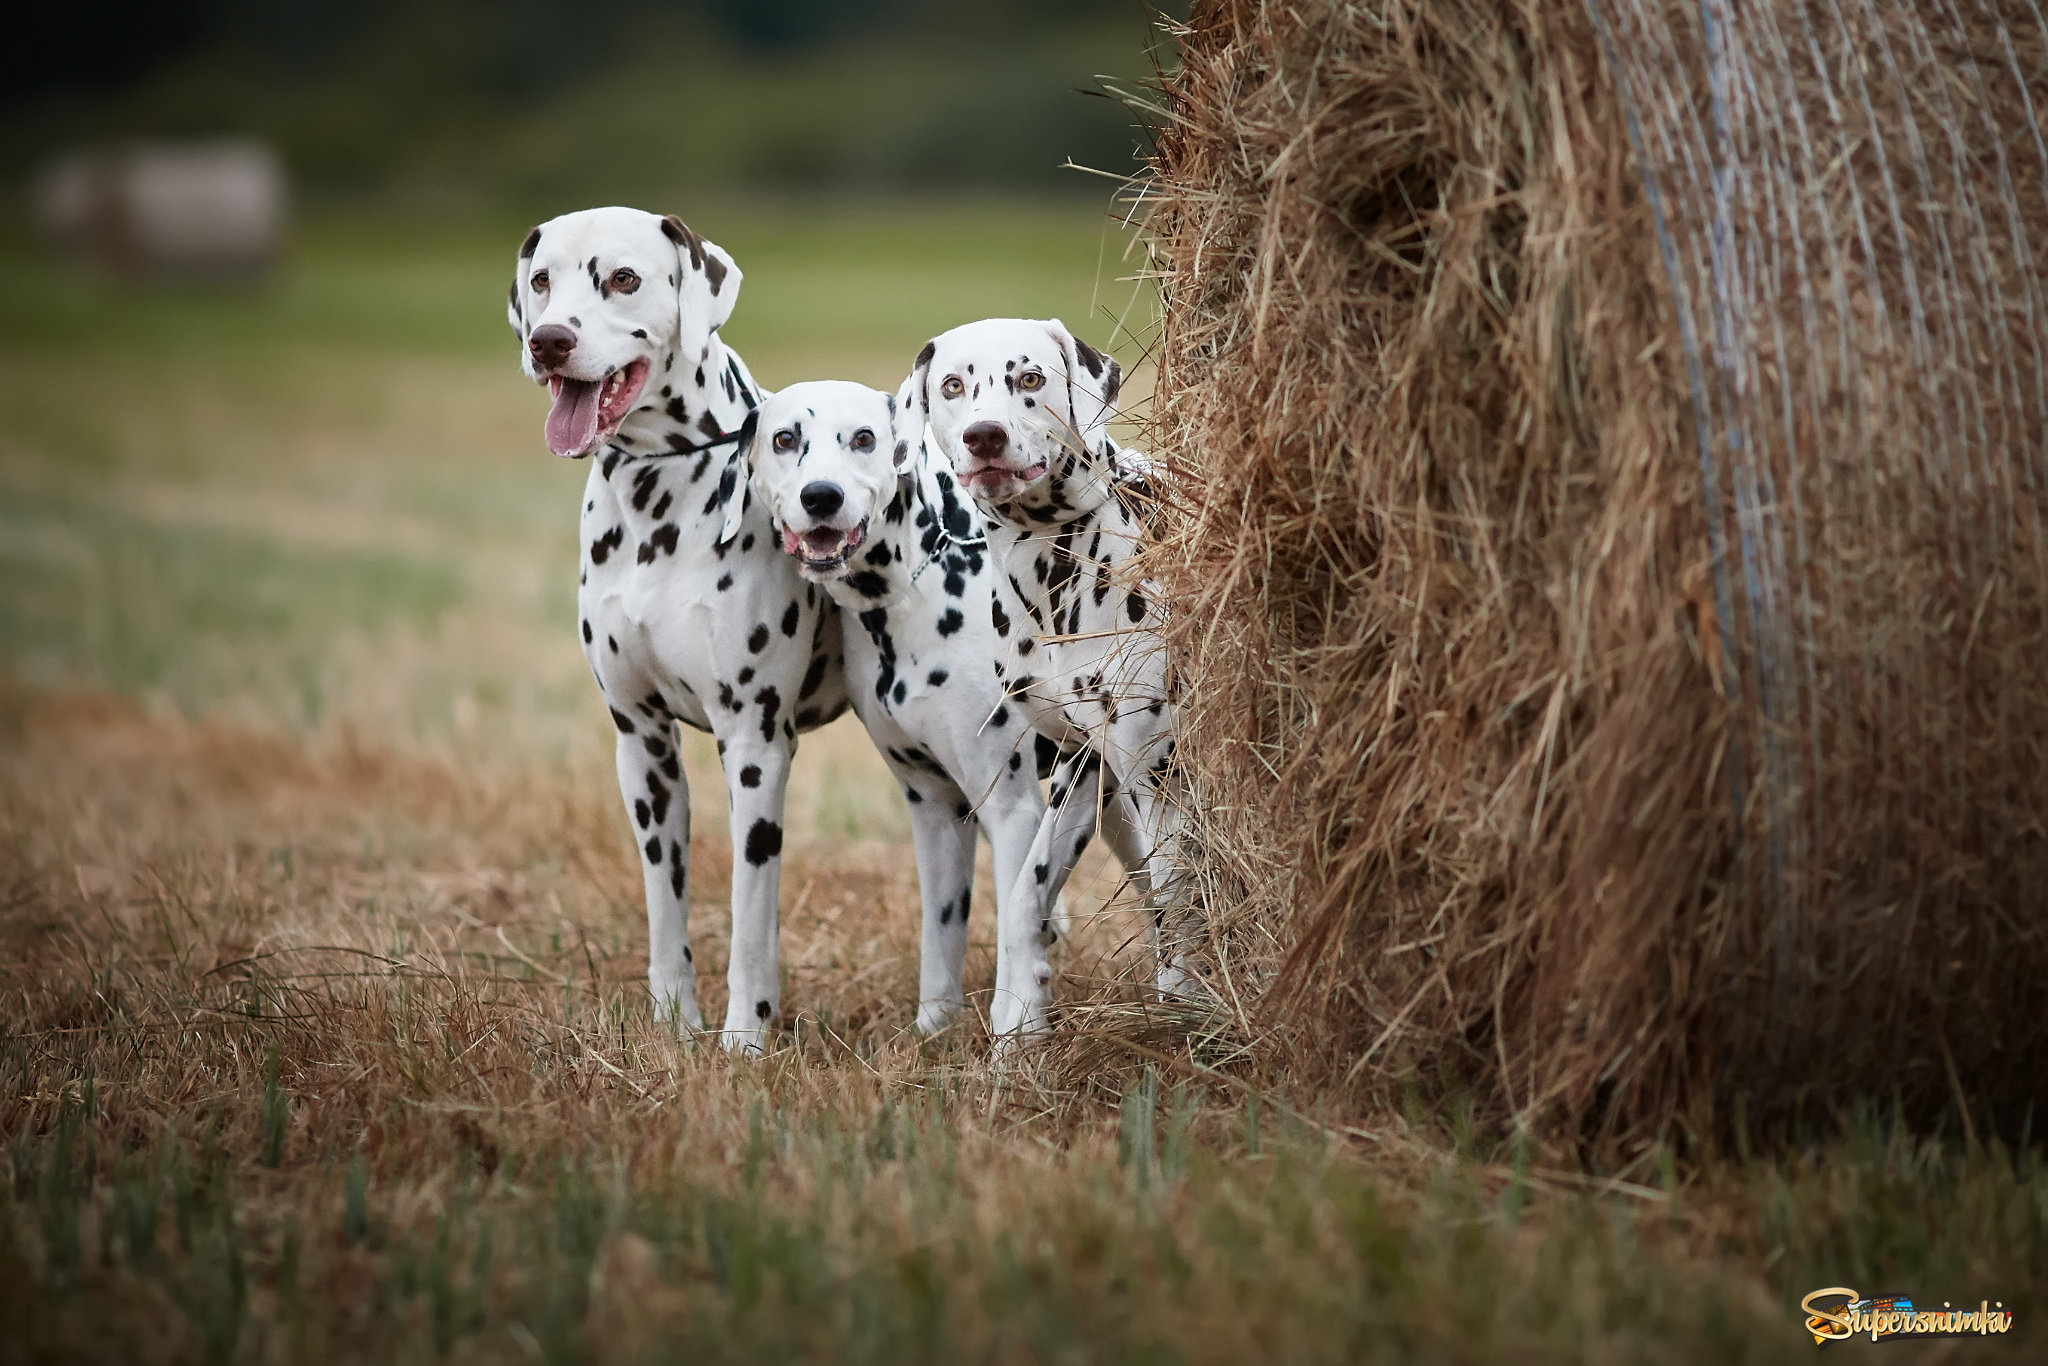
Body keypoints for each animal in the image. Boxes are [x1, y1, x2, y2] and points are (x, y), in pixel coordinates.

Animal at [507, 208, 851, 1056]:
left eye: (624, 278)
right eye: (541, 281)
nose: (549, 341)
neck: (657, 495)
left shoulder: (756, 748)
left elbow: (750, 915)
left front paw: (745, 1036)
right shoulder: (643, 747)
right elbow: (666, 904)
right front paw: (673, 1021)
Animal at [741, 376, 1155, 1036]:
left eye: (864, 438)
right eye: (785, 439)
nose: (821, 496)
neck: (915, 587)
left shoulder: (1011, 813)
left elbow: (1018, 925)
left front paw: (1020, 1029)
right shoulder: (934, 808)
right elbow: (941, 940)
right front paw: (934, 1031)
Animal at [909, 315, 1196, 1011]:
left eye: (1031, 378)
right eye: (952, 384)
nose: (983, 435)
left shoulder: (1154, 770)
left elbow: (1175, 903)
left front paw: (1189, 1014)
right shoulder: (1083, 766)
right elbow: (1023, 898)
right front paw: (1018, 1018)